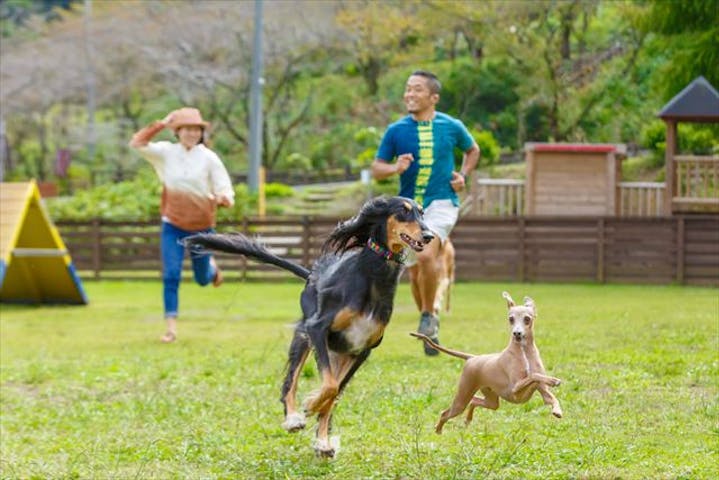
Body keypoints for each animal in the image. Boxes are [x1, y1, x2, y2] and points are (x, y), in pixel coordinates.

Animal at [186, 196, 434, 458]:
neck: (373, 276)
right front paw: (310, 405)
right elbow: (329, 386)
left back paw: (323, 442)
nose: (429, 236)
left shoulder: (362, 349)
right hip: (303, 336)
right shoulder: (317, 328)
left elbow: (333, 393)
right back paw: (293, 419)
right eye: (403, 212)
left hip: (340, 353)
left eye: (422, 212)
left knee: (330, 395)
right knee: (290, 381)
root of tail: (312, 276)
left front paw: (320, 432)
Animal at [410, 290, 564, 434]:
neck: (524, 352)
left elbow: (549, 395)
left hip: (491, 400)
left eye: (527, 319)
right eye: (511, 319)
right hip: (462, 398)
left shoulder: (542, 391)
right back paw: (438, 430)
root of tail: (472, 358)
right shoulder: (515, 388)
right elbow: (533, 375)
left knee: (474, 401)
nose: (517, 334)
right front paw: (553, 380)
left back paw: (467, 419)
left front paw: (557, 410)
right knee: (445, 413)